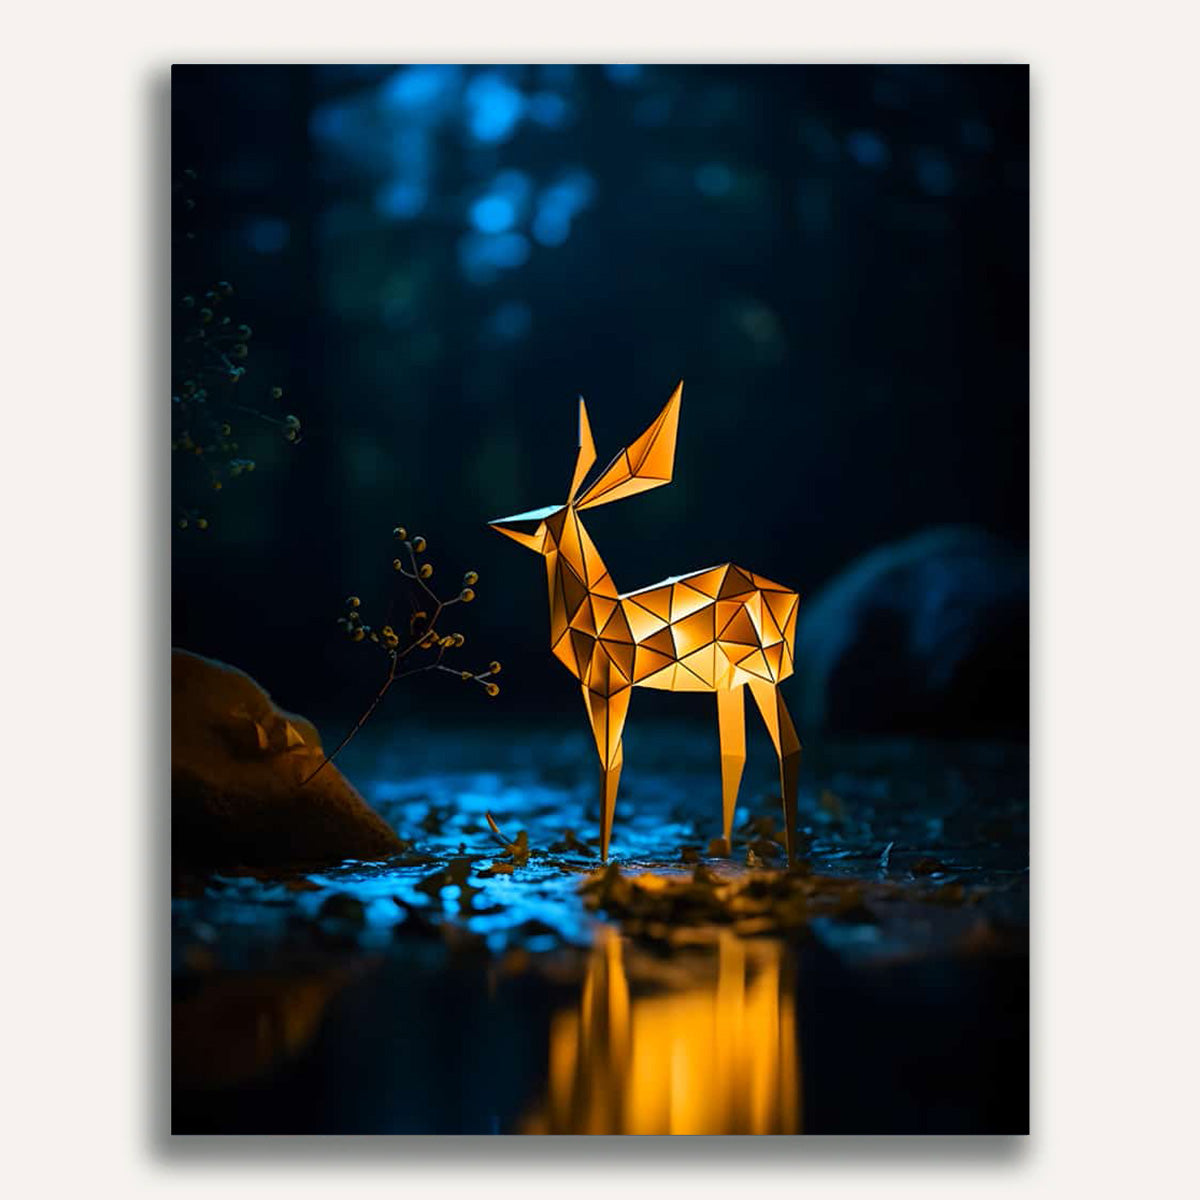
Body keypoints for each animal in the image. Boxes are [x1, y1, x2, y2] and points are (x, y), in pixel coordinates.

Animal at [489, 382, 802, 864]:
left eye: (542, 521)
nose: (502, 525)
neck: (600, 611)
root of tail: (790, 597)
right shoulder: (589, 692)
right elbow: (612, 760)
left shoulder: (613, 688)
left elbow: (610, 763)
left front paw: (601, 859)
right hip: (731, 683)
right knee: (735, 753)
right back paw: (726, 849)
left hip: (765, 673)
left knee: (788, 749)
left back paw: (789, 858)